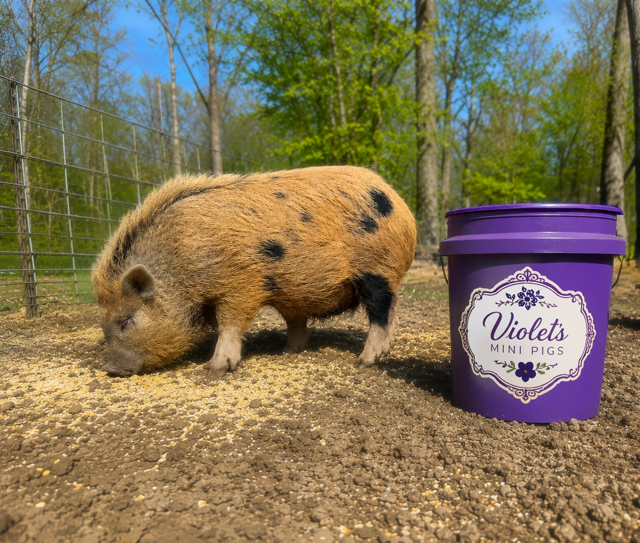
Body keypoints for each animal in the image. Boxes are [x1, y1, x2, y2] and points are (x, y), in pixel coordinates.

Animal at [92, 166, 417, 379]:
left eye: (126, 321)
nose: (110, 369)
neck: (181, 264)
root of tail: (401, 204)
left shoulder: (242, 285)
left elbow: (230, 324)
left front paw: (214, 369)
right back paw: (291, 351)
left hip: (376, 270)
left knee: (381, 313)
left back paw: (364, 362)